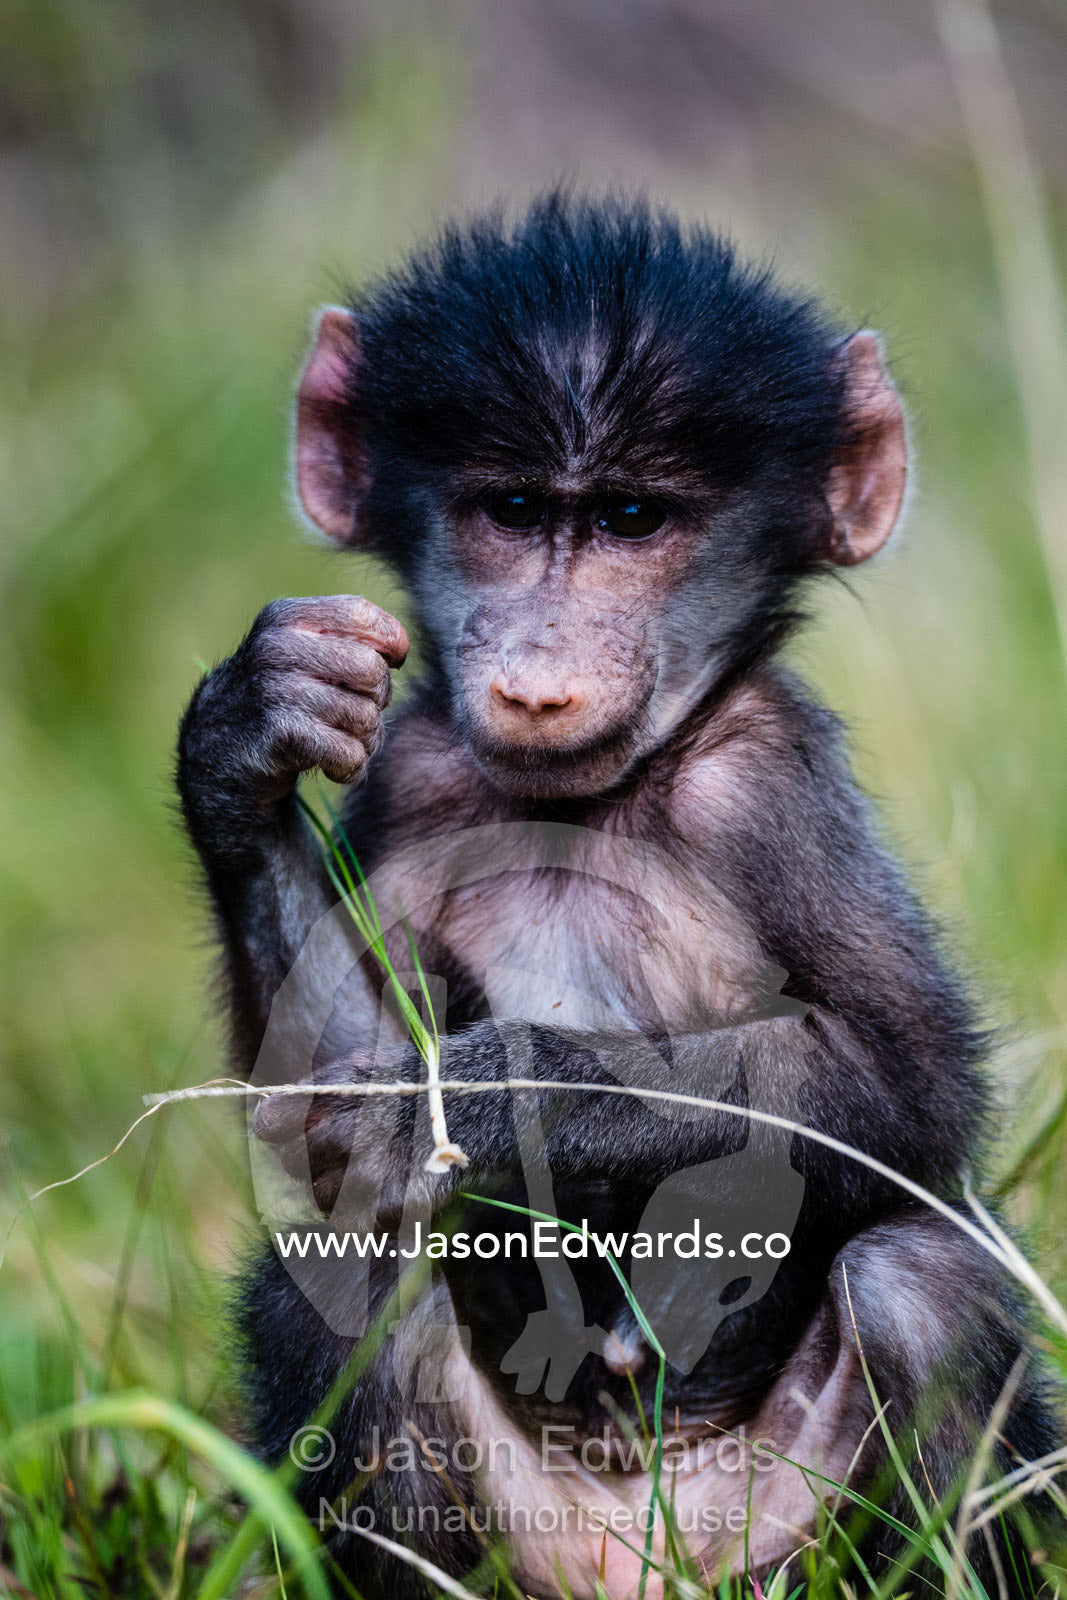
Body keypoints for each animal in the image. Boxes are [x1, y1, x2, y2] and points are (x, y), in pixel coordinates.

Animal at [177, 194, 1062, 1597]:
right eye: (512, 508)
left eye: (635, 519)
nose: (538, 676)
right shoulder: (414, 779)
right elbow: (322, 1120)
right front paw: (249, 728)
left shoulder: (770, 784)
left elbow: (907, 1090)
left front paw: (506, 1091)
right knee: (344, 1269)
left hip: (784, 1525)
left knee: (918, 1279)